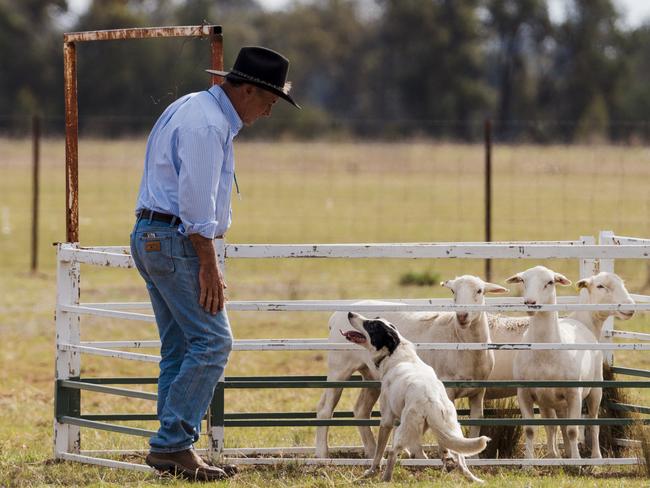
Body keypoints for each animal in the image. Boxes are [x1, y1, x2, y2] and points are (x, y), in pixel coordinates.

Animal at [314, 276, 506, 460]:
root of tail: (335, 317)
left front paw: (475, 457)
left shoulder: (478, 391)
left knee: (361, 410)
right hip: (339, 367)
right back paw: (323, 454)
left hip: (372, 376)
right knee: (325, 409)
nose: (462, 316)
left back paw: (372, 450)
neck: (459, 338)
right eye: (453, 291)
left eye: (479, 291)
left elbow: (477, 420)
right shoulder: (447, 389)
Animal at [342, 314, 488, 482]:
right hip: (450, 430)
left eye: (371, 325)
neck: (396, 352)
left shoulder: (386, 420)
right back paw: (472, 478)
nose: (350, 314)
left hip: (406, 428)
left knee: (397, 453)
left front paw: (372, 471)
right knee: (459, 458)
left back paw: (386, 478)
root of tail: (433, 402)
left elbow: (379, 452)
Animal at [506, 264, 604, 460]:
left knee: (593, 421)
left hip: (595, 388)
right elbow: (530, 430)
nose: (530, 302)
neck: (545, 354)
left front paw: (577, 461)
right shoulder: (524, 393)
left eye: (550, 282)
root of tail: (575, 322)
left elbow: (573, 430)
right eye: (522, 280)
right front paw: (528, 461)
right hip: (551, 401)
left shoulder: (574, 393)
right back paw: (556, 455)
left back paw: (596, 456)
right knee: (554, 425)